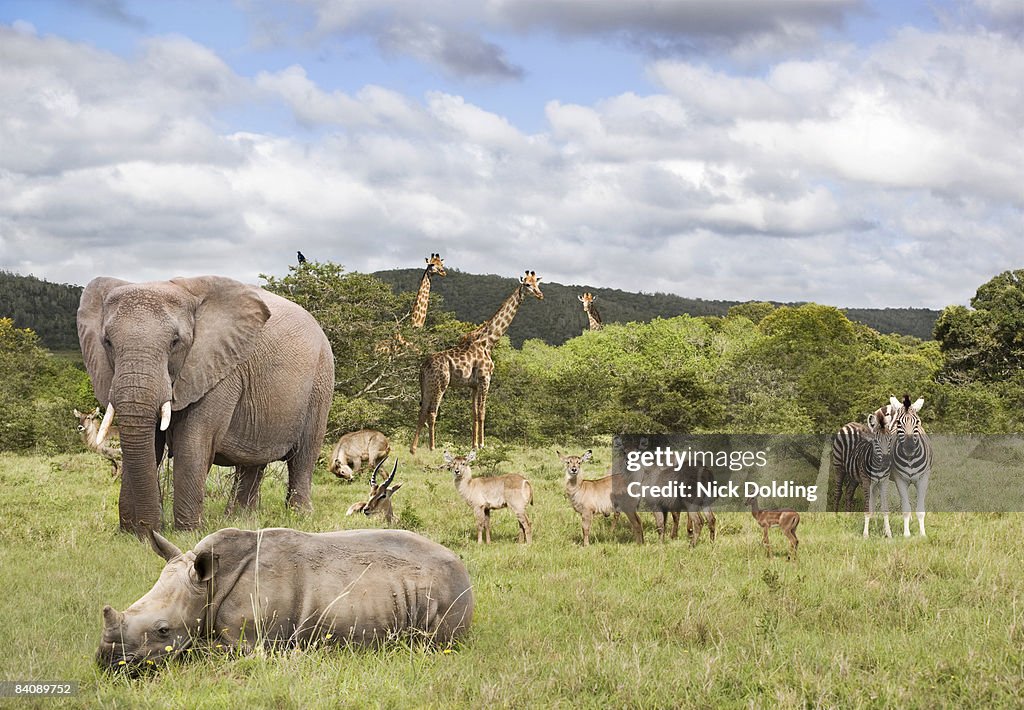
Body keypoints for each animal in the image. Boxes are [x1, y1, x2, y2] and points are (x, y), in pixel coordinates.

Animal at [80, 274, 335, 528]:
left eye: (175, 342)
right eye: (107, 342)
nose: (149, 529)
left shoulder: (218, 368)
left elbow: (193, 441)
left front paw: (188, 531)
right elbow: (149, 443)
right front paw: (133, 533)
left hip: (321, 380)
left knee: (303, 455)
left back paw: (299, 517)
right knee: (253, 461)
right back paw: (240, 520)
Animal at [97, 524, 473, 672]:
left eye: (163, 631)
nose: (105, 661)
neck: (210, 585)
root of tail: (463, 566)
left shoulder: (246, 642)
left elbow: (199, 651)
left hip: (447, 590)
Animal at [411, 268, 548, 450]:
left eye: (537, 284)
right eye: (527, 284)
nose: (540, 295)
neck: (488, 342)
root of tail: (423, 367)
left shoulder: (473, 385)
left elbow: (474, 412)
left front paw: (474, 444)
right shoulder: (485, 378)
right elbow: (482, 412)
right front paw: (482, 444)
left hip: (427, 385)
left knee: (421, 411)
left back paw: (413, 448)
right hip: (440, 384)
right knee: (432, 412)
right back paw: (432, 447)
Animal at [831, 403, 897, 536]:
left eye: (890, 440)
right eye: (876, 442)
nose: (886, 461)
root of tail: (850, 424)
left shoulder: (883, 482)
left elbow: (883, 508)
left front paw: (888, 533)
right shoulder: (867, 482)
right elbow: (867, 508)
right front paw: (866, 534)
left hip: (855, 475)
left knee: (849, 491)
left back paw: (848, 517)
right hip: (838, 467)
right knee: (838, 492)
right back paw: (835, 517)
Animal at [888, 393, 937, 536]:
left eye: (917, 422)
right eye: (899, 423)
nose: (909, 448)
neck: (910, 459)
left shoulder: (923, 479)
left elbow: (920, 510)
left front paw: (922, 534)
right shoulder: (900, 479)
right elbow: (906, 508)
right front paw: (907, 534)